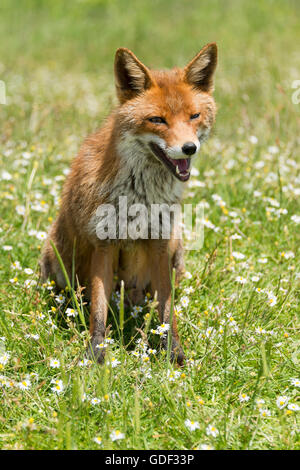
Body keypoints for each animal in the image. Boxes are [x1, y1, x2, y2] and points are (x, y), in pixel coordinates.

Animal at [40, 44, 218, 366]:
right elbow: (98, 310)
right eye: (157, 120)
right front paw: (96, 353)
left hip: (176, 249)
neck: (141, 197)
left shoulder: (161, 243)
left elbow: (167, 312)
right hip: (58, 259)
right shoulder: (104, 244)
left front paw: (173, 352)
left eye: (194, 116)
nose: (189, 148)